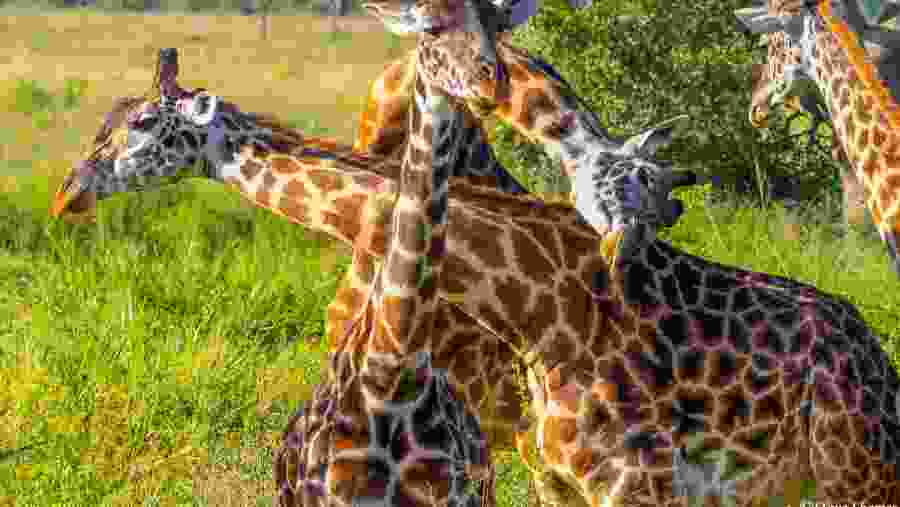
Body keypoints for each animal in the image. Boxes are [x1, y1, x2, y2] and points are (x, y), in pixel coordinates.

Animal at [53, 73, 900, 505]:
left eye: (141, 123)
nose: (69, 190)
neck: (536, 302)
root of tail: (875, 357)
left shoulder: (636, 486)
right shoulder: (558, 479)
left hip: (855, 474)